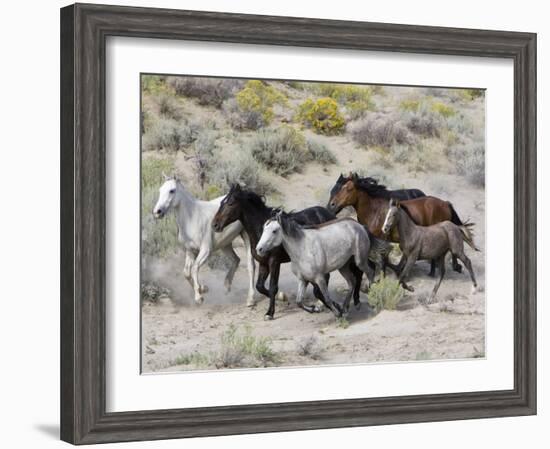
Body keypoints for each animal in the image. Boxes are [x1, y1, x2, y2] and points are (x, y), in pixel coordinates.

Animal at [153, 177, 256, 306]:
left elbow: (195, 268)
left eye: (172, 190)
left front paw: (199, 297)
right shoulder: (190, 251)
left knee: (251, 266)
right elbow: (186, 273)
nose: (157, 212)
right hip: (225, 244)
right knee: (236, 260)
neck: (192, 219)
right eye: (160, 190)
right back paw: (227, 286)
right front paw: (203, 289)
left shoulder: (206, 250)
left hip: (246, 237)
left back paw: (250, 299)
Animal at [213, 185, 364, 318]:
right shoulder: (263, 263)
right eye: (221, 202)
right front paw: (283, 298)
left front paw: (270, 312)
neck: (260, 230)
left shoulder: (274, 262)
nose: (215, 224)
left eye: (230, 203)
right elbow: (260, 286)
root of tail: (329, 213)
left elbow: (273, 287)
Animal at [328, 172, 470, 274]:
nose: (331, 205)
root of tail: (445, 204)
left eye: (348, 188)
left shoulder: (382, 240)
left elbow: (382, 260)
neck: (374, 211)